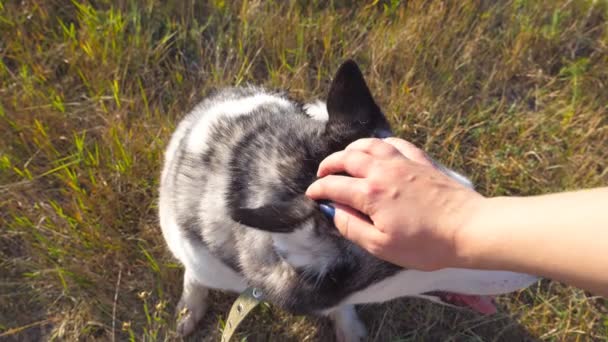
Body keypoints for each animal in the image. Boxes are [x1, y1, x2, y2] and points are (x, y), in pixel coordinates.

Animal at [159, 60, 540, 340]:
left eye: (470, 193)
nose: (540, 270)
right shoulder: (197, 256)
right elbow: (194, 278)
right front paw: (190, 306)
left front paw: (347, 324)